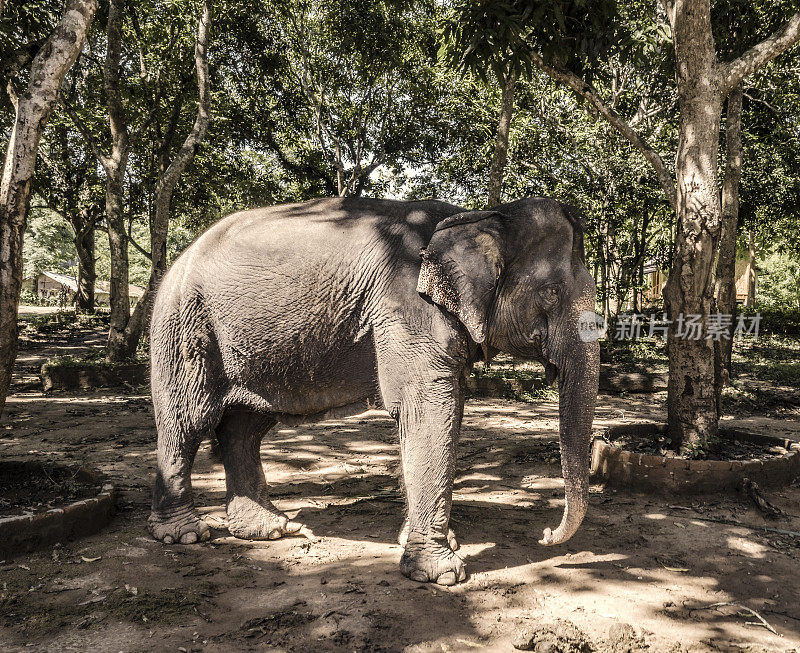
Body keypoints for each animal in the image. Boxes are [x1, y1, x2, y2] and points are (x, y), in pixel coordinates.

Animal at [148, 195, 600, 584]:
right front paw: (443, 573)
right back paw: (185, 535)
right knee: (188, 421)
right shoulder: (406, 308)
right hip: (184, 326)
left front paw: (431, 543)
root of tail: (180, 258)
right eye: (551, 294)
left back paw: (269, 529)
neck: (477, 216)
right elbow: (430, 409)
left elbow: (432, 414)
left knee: (244, 428)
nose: (545, 535)